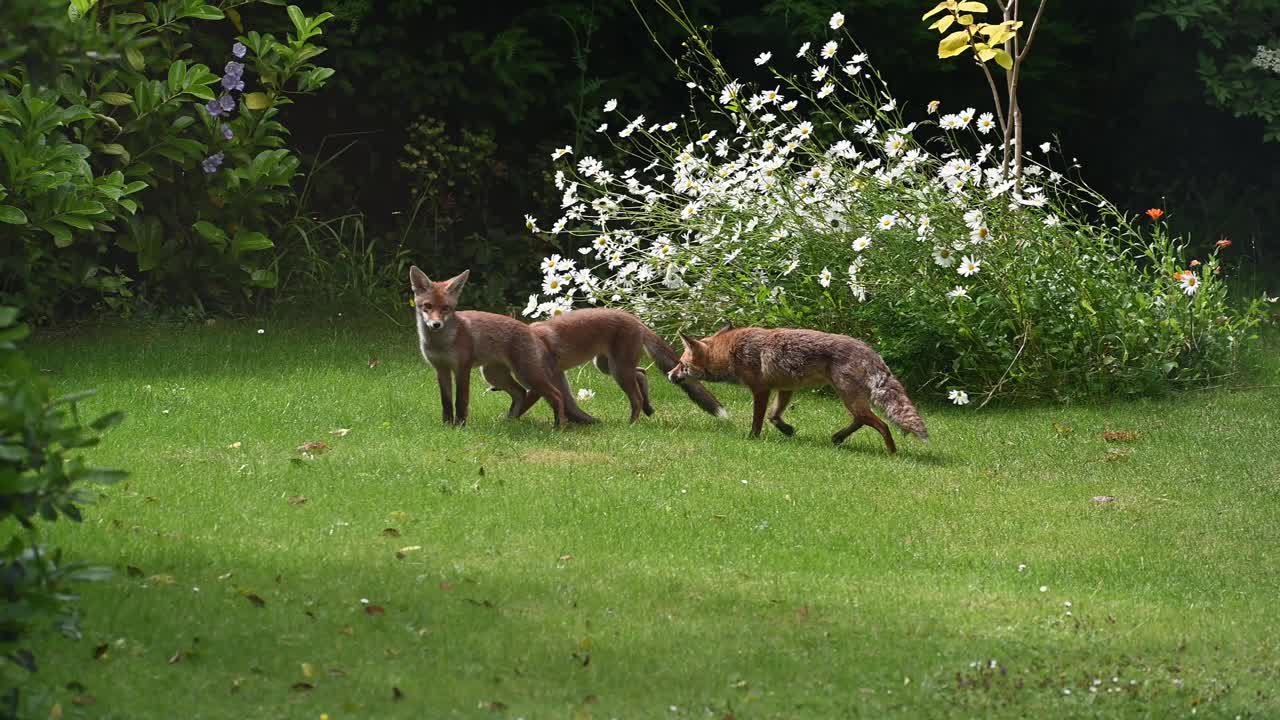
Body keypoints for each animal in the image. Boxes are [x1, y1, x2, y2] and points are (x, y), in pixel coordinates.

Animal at [409, 267, 565, 425]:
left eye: (446, 308)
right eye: (428, 306)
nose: (436, 324)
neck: (440, 344)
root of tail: (530, 329)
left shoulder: (462, 368)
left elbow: (461, 401)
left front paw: (460, 425)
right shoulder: (441, 369)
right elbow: (446, 402)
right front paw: (447, 425)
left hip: (526, 374)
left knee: (556, 395)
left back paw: (559, 426)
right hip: (493, 375)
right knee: (520, 392)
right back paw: (510, 421)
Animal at [512, 307, 732, 420]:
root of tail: (636, 320)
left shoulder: (542, 379)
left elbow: (527, 402)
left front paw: (510, 422)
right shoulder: (556, 375)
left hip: (618, 370)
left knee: (636, 398)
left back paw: (632, 423)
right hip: (607, 366)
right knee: (642, 373)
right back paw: (648, 408)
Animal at [665, 325, 926, 453]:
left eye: (680, 364)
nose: (668, 375)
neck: (731, 352)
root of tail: (869, 350)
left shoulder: (760, 390)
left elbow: (758, 420)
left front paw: (752, 439)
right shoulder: (785, 388)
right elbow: (774, 416)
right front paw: (787, 430)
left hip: (849, 398)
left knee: (881, 425)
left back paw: (892, 452)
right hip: (852, 400)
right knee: (862, 420)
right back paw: (838, 437)